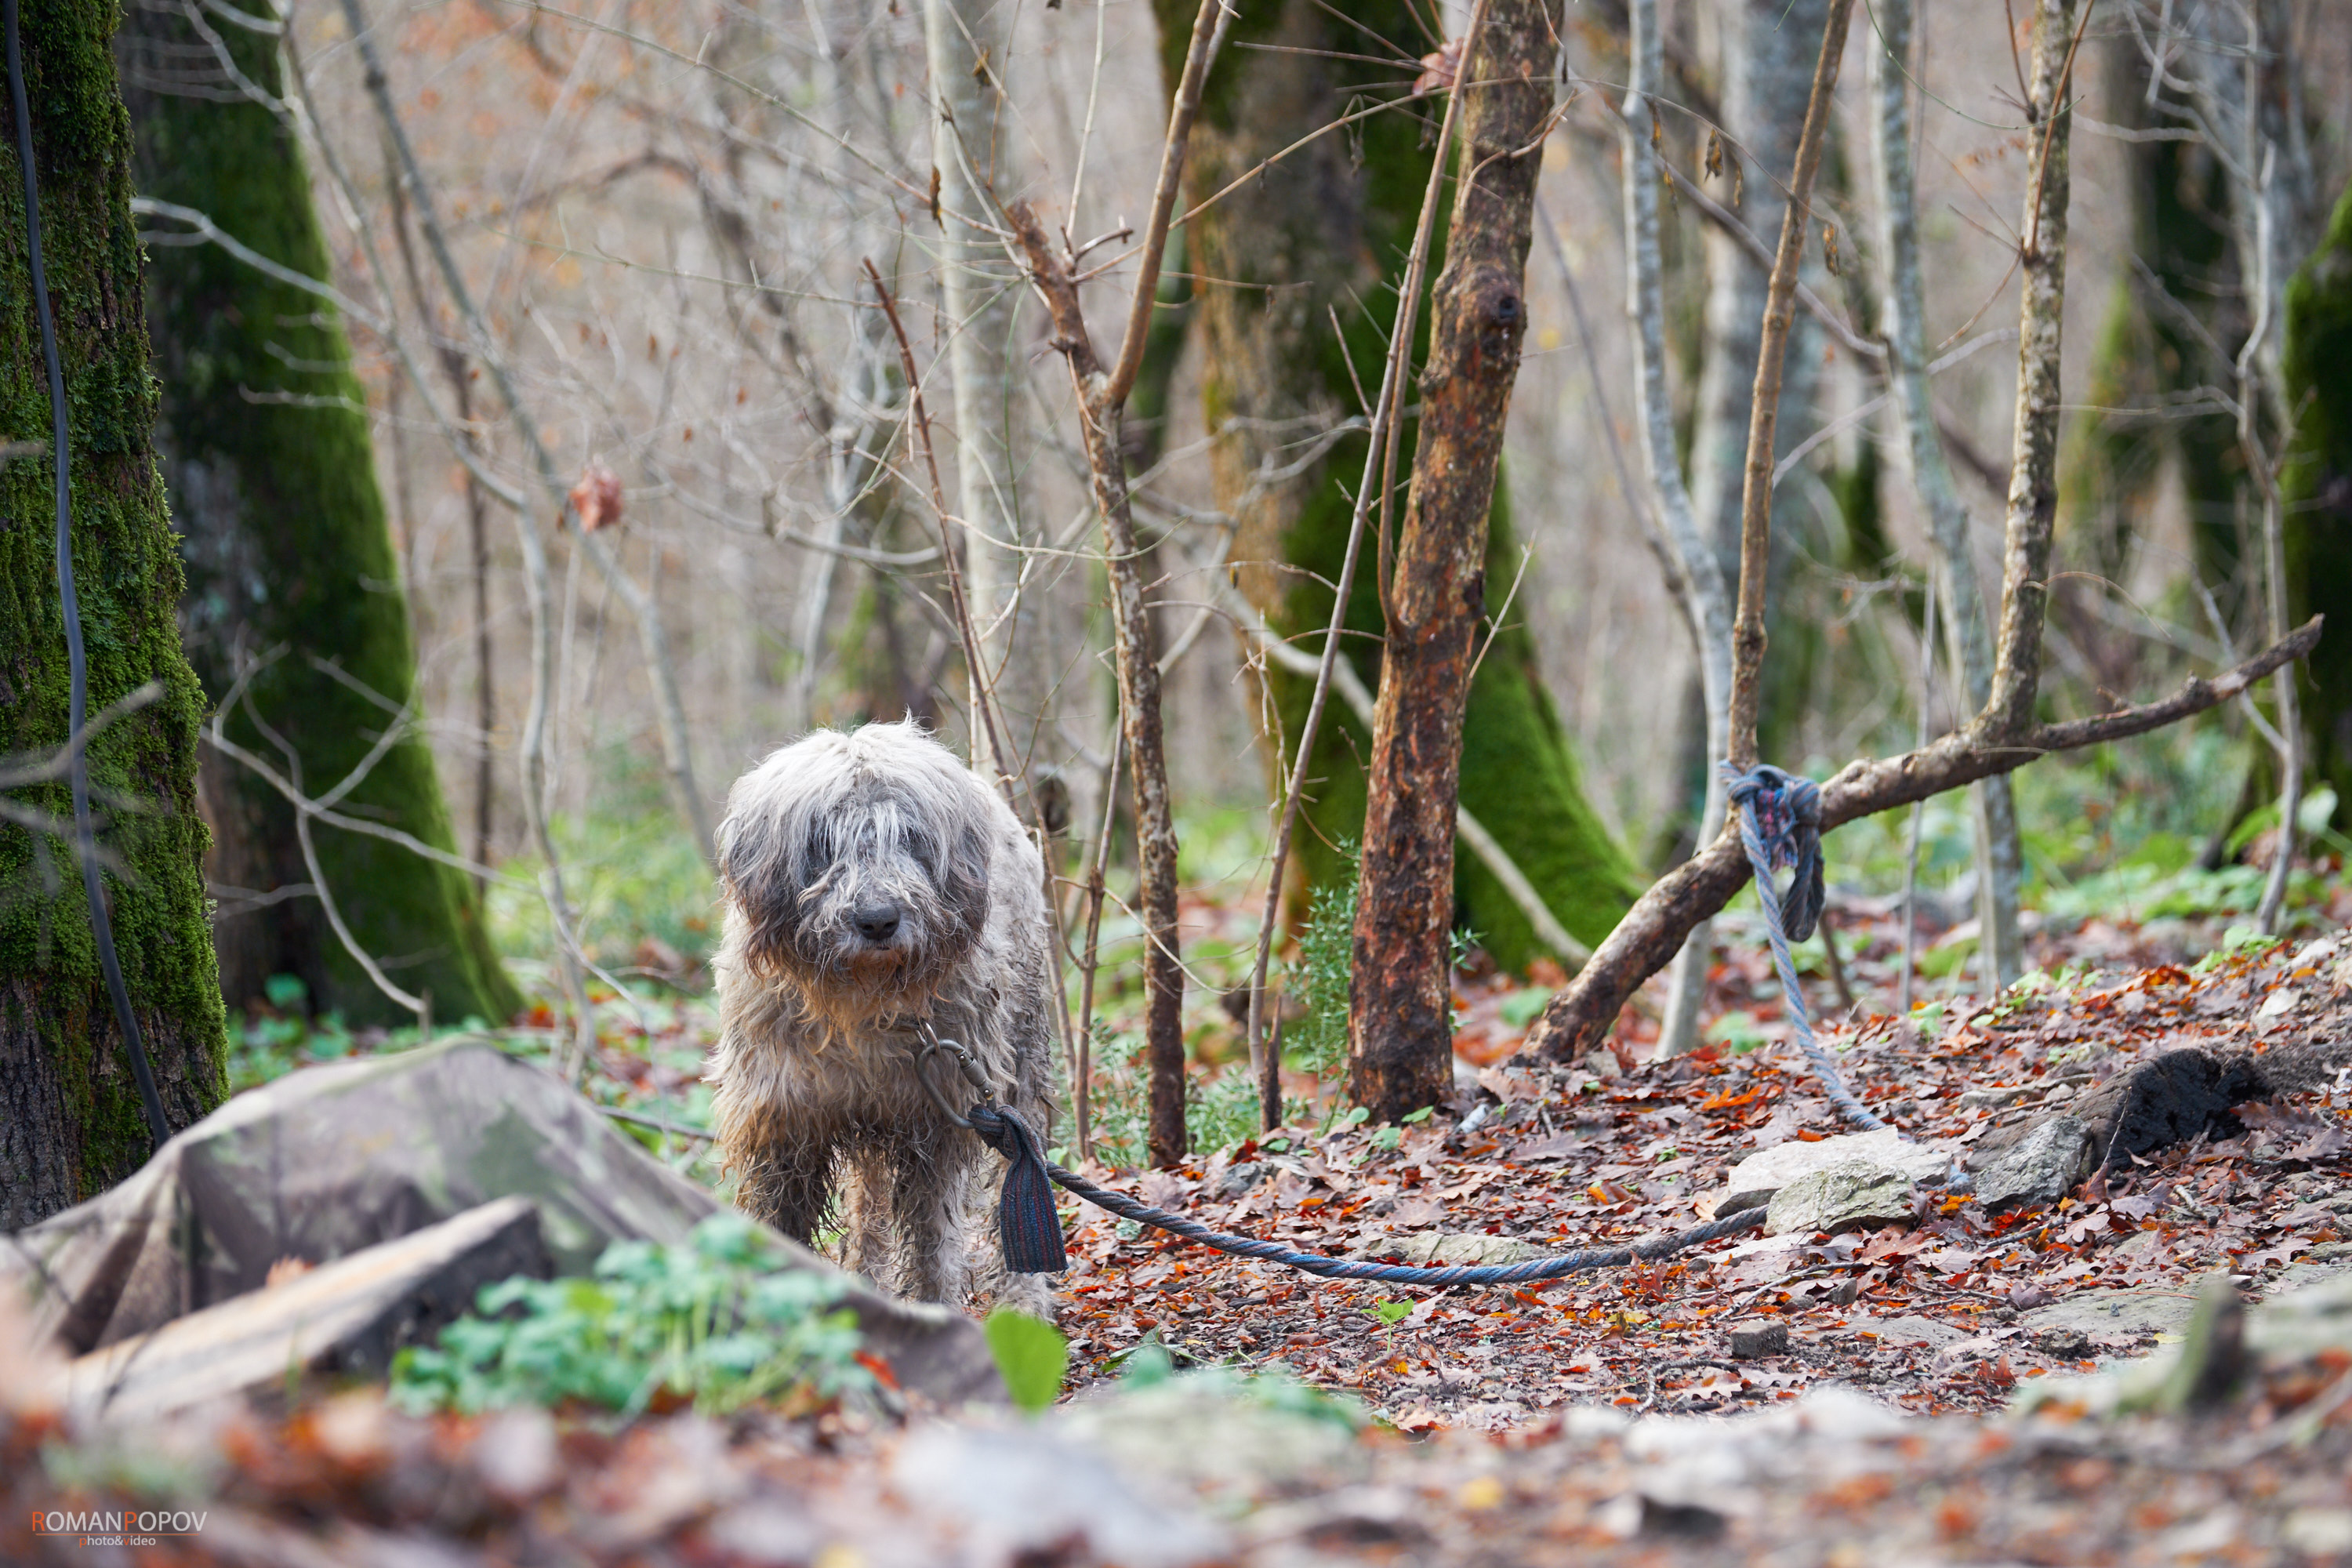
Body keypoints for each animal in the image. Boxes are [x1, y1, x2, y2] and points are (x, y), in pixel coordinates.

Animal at [701, 724, 1063, 1316]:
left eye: (910, 837)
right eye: (824, 841)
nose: (878, 921)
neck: (861, 1005)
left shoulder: (938, 1122)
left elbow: (934, 1242)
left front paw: (938, 1312)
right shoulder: (784, 1125)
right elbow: (779, 1227)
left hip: (1022, 1057)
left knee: (1019, 1172)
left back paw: (1024, 1298)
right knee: (866, 1211)